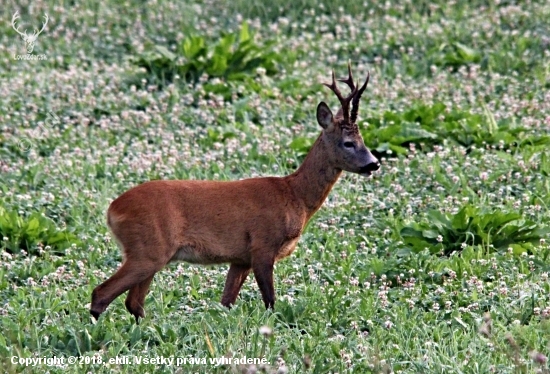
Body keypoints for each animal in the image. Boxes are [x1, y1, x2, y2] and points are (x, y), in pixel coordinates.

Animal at [91, 63, 384, 322]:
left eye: (363, 140)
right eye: (348, 142)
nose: (374, 163)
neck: (294, 195)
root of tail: (112, 210)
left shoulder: (241, 258)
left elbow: (226, 302)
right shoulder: (263, 244)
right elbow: (270, 301)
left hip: (150, 253)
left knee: (133, 302)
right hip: (148, 249)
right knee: (101, 294)